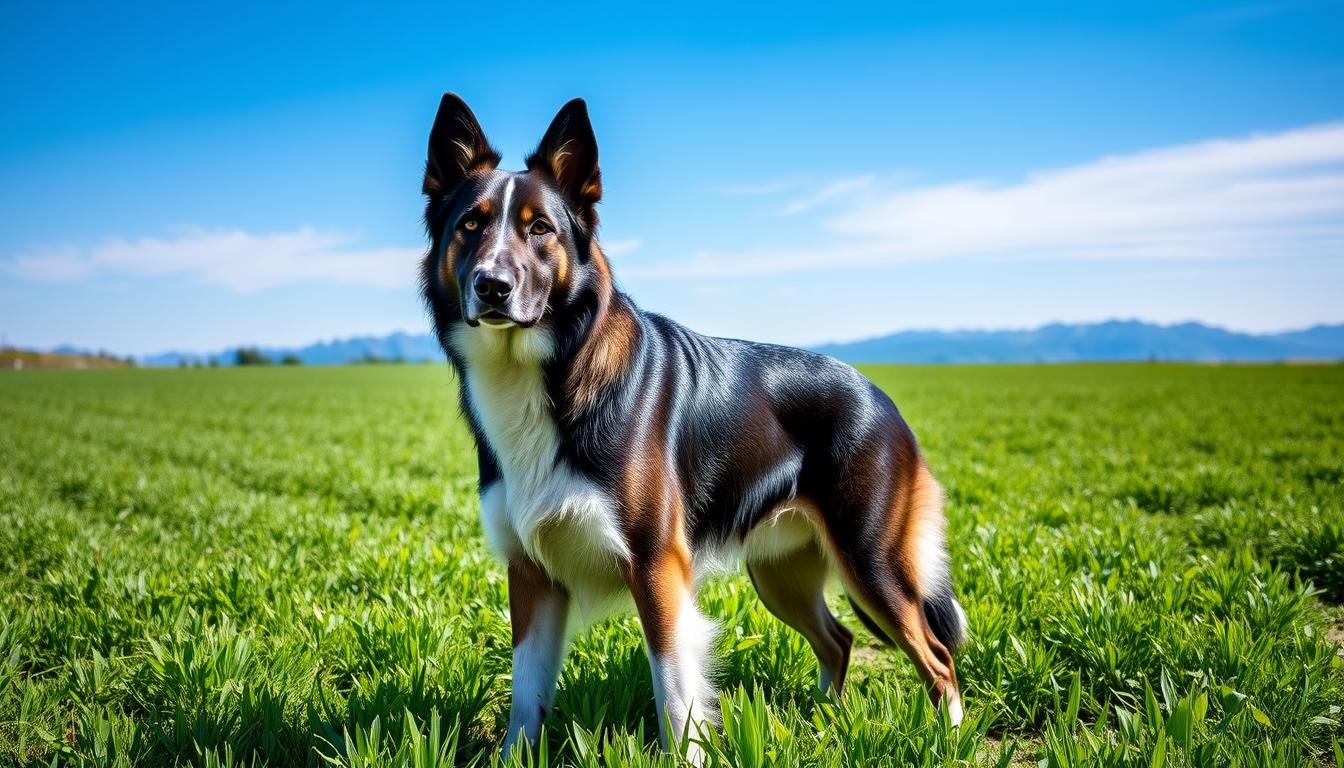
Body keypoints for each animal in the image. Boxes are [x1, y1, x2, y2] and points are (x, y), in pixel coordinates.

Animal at [419, 93, 967, 758]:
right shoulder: (531, 573)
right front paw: (515, 760)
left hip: (872, 561)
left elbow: (675, 691)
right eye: (470, 225)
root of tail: (881, 397)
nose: (492, 286)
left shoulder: (656, 566)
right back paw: (822, 722)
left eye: (539, 229)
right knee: (838, 640)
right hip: (780, 571)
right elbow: (526, 695)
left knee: (936, 655)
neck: (552, 369)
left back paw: (948, 740)